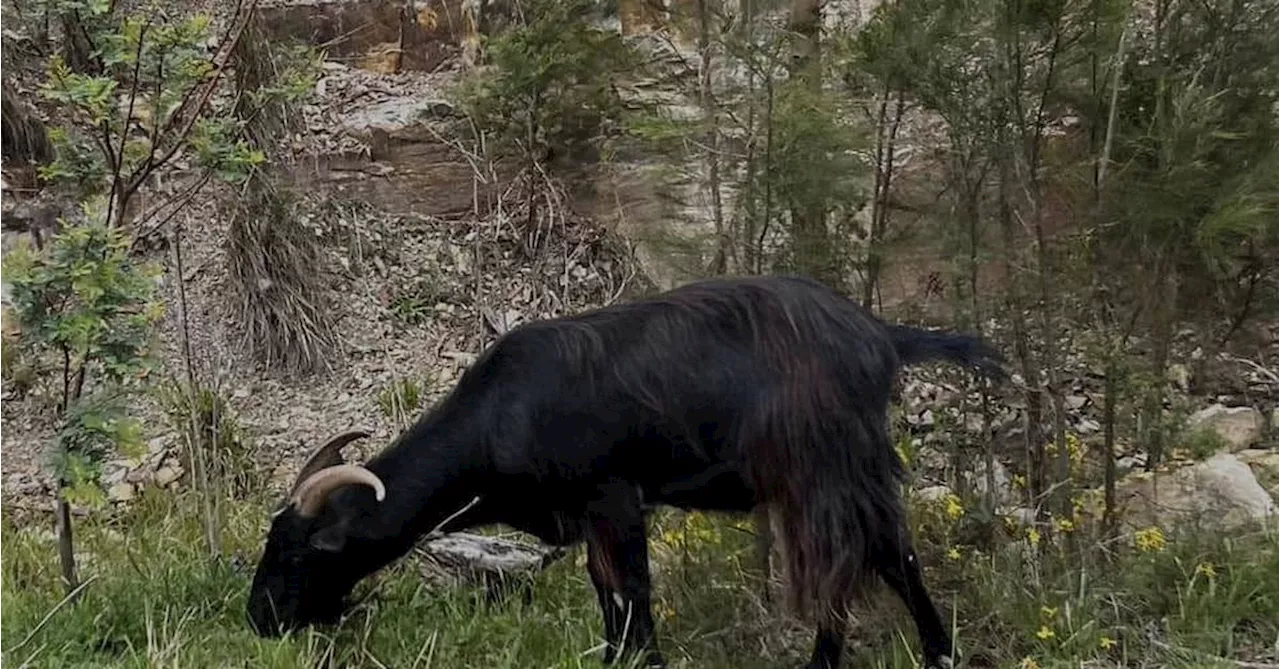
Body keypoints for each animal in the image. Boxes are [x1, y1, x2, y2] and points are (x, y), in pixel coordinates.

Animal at [241, 275, 998, 665]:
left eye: (300, 552)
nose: (258, 619)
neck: (503, 412)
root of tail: (882, 337)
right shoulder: (588, 516)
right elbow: (607, 595)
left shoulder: (613, 496)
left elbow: (634, 590)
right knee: (876, 554)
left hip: (831, 470)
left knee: (871, 556)